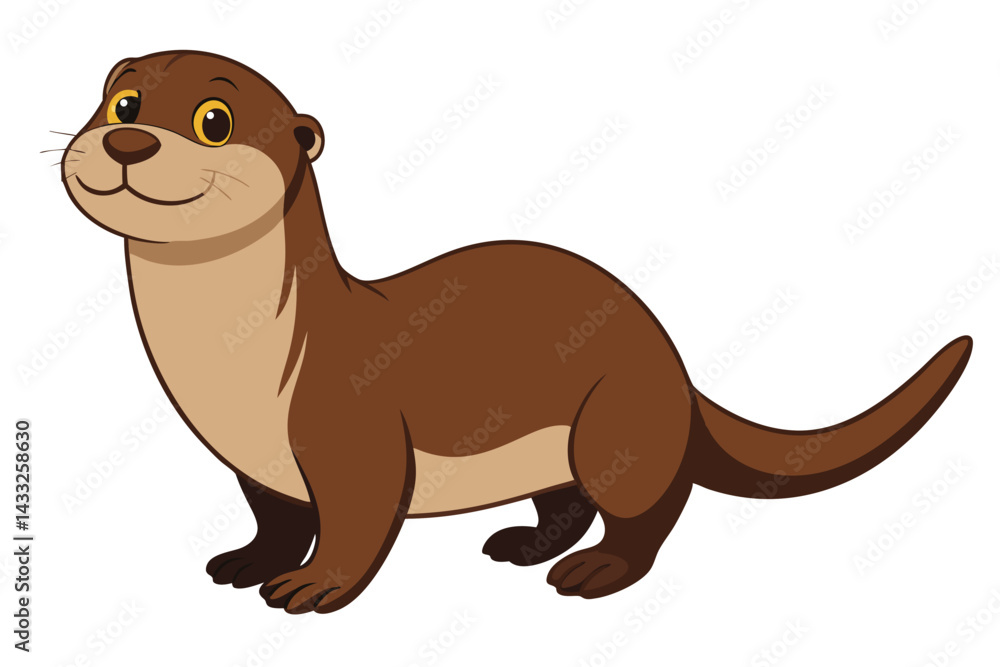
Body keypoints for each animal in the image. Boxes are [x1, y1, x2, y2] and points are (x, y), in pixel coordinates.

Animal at [61, 50, 972, 614]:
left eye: (214, 119)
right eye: (123, 102)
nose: (129, 139)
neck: (246, 362)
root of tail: (671, 356)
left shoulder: (351, 428)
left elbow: (358, 519)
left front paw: (313, 586)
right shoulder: (258, 458)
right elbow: (277, 516)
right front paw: (250, 561)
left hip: (618, 418)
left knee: (650, 502)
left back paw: (596, 570)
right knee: (566, 499)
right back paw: (522, 542)